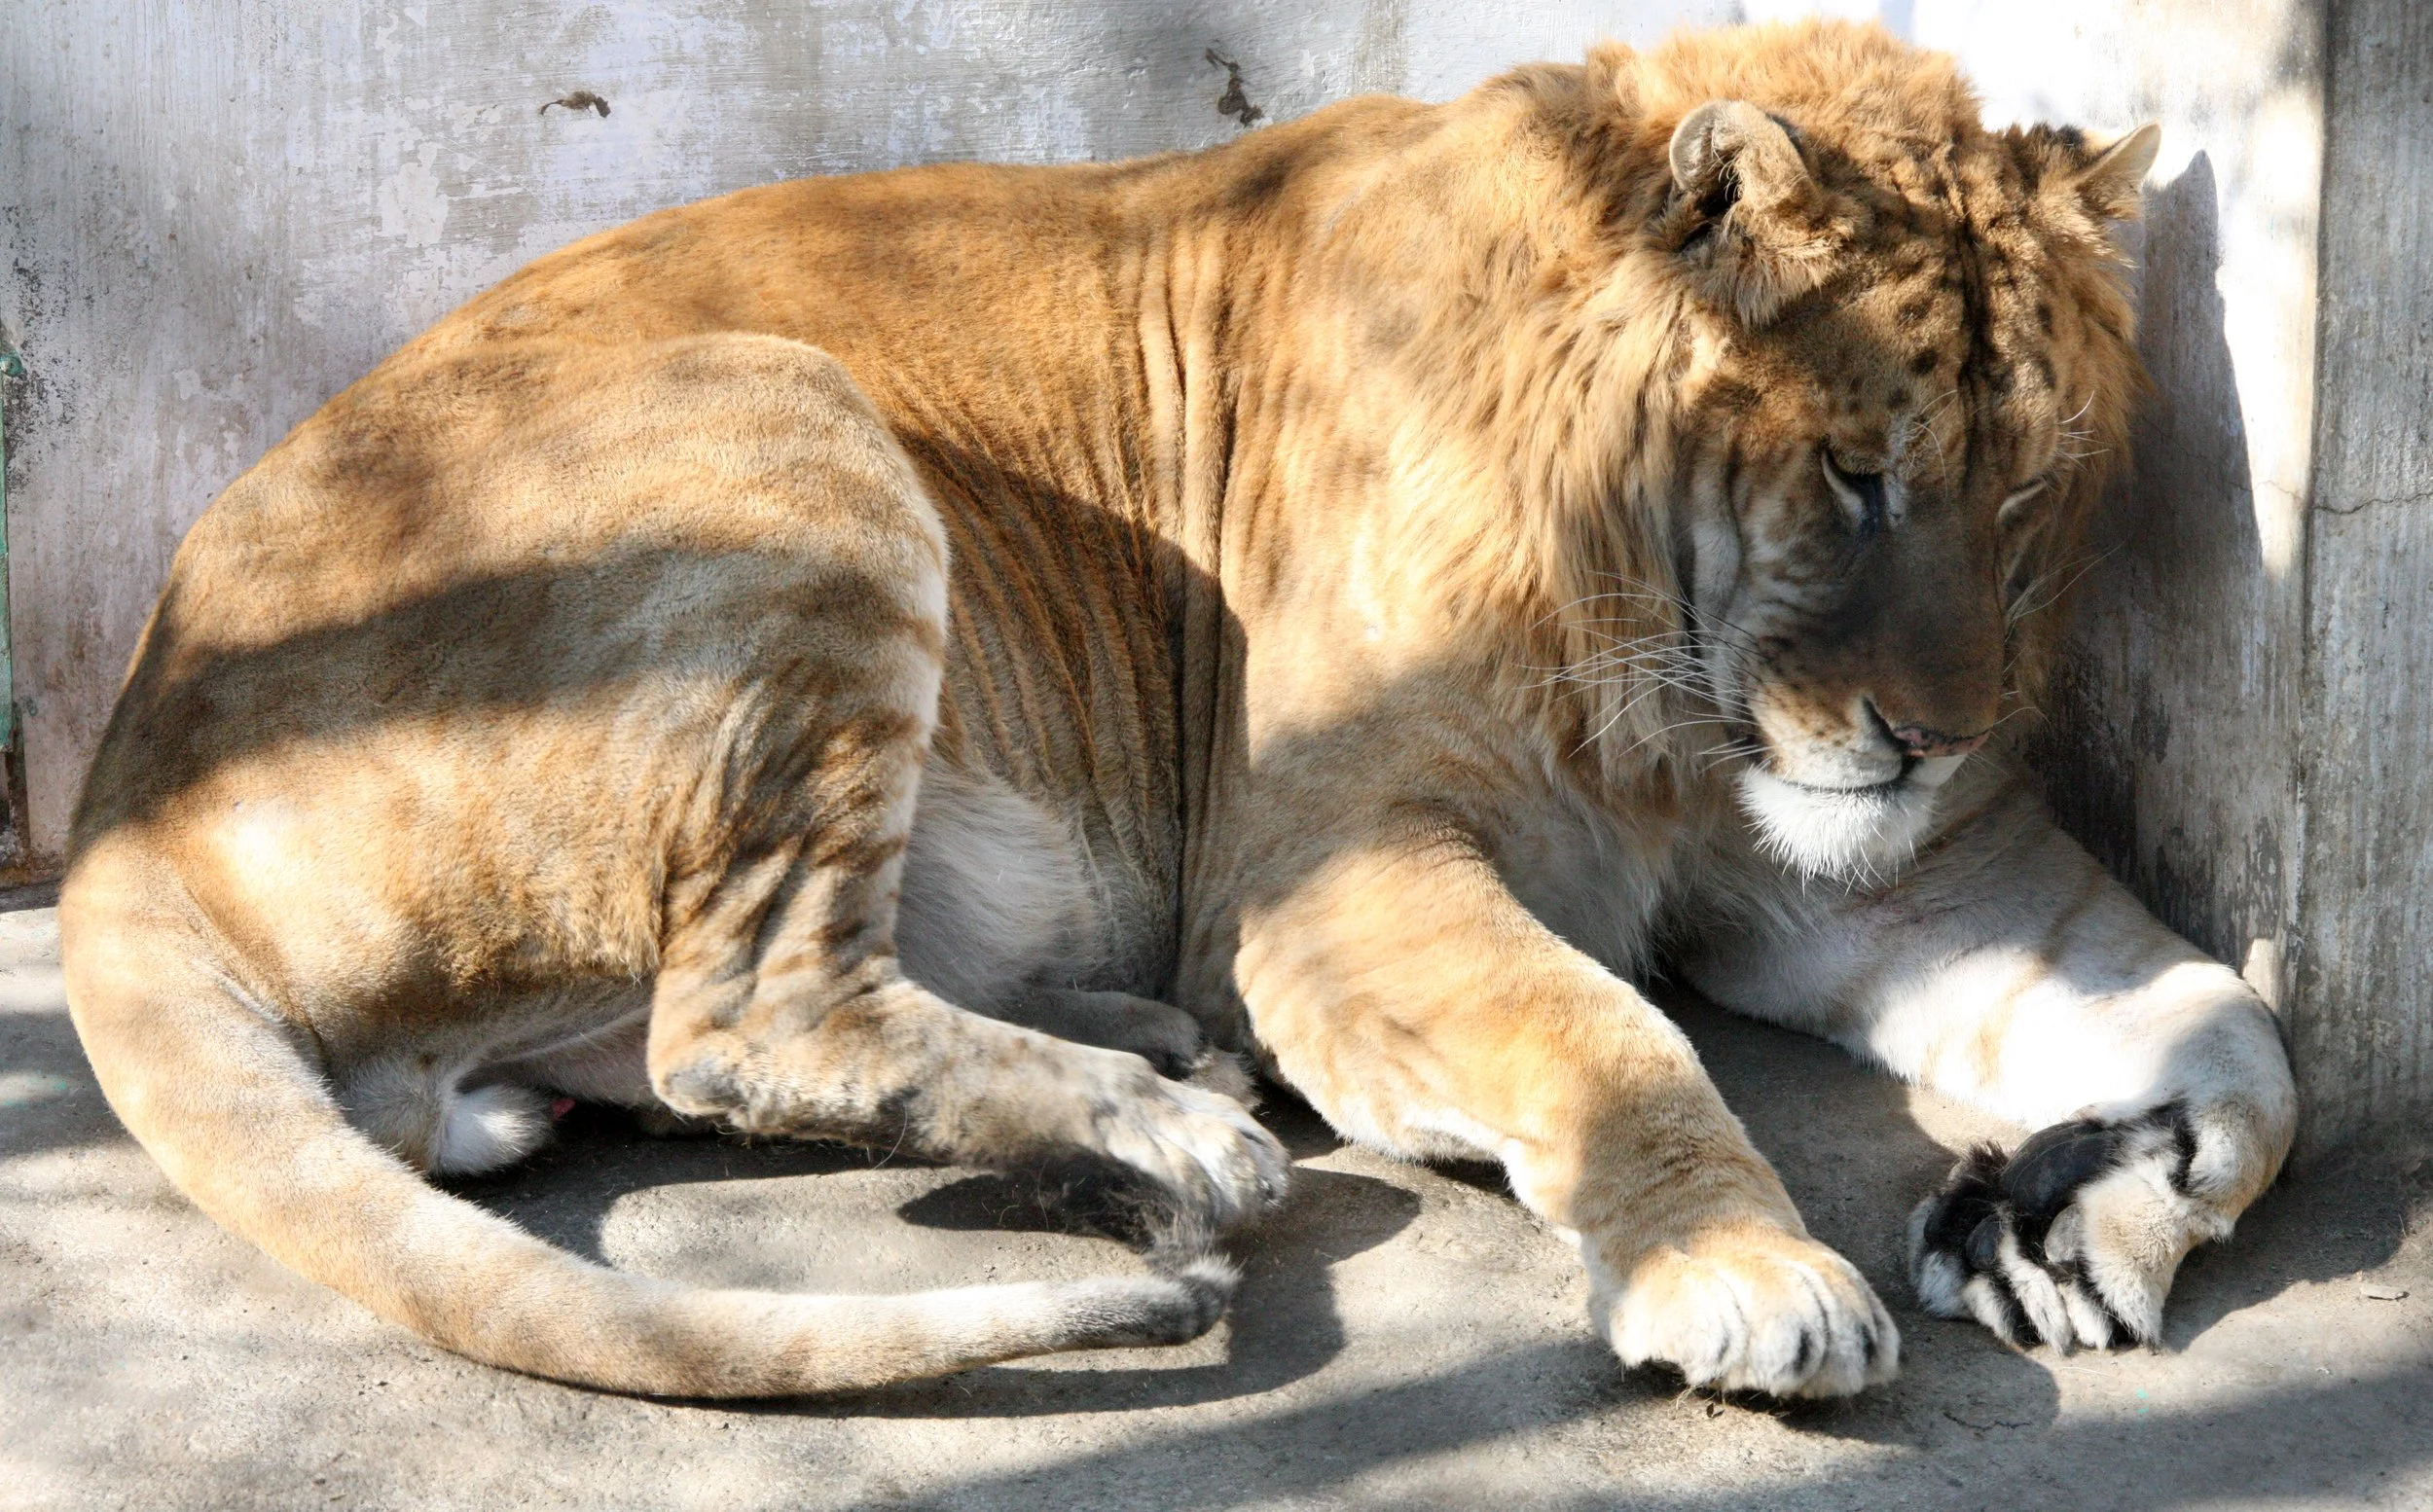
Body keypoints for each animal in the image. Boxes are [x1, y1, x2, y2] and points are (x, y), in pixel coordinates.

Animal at [60, 19, 2294, 1400]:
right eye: (1851, 474)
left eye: (2022, 495)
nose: (1930, 735)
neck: (1679, 694)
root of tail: (110, 803)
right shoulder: (1322, 867)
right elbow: (1604, 1029)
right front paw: (1742, 1277)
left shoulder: (1909, 873)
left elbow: (2241, 1036)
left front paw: (2078, 1212)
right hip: (783, 420)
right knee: (747, 1016)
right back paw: (1185, 1130)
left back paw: (1145, 1058)